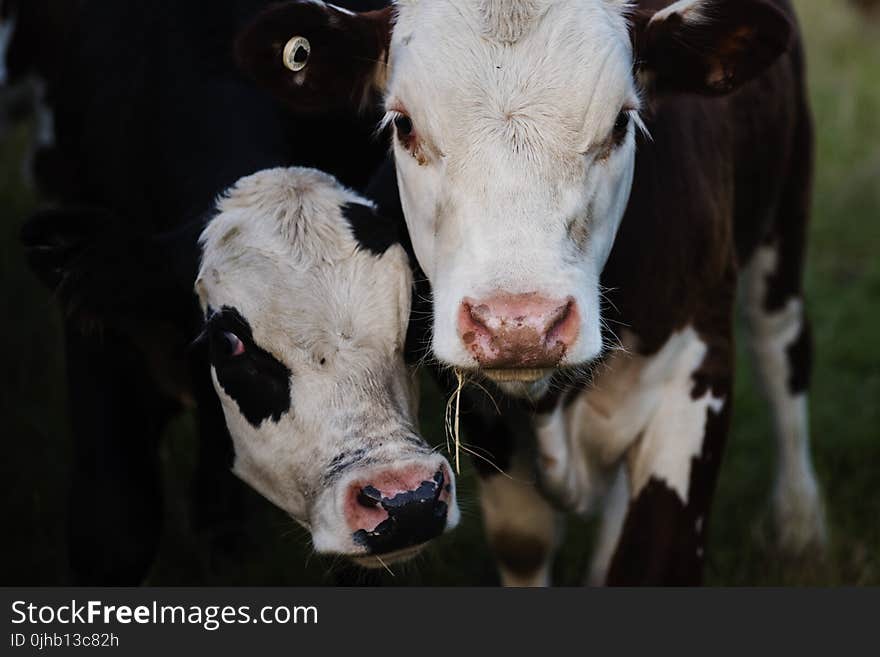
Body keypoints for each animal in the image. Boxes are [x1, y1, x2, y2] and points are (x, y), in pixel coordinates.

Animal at [237, 0, 828, 584]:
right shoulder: (484, 415)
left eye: (622, 122)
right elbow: (525, 540)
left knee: (780, 345)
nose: (517, 326)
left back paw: (798, 521)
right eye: (403, 124)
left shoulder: (695, 370)